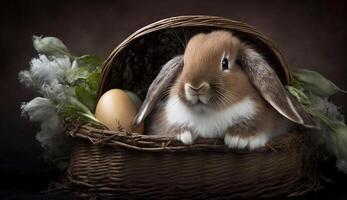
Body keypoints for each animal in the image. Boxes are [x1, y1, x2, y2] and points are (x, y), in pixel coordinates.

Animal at [133, 30, 318, 149]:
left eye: (225, 63)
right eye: (184, 63)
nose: (195, 86)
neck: (207, 112)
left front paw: (240, 139)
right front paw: (182, 134)